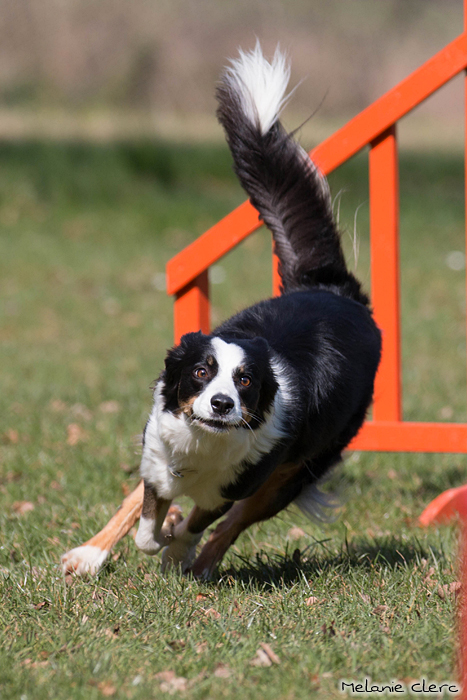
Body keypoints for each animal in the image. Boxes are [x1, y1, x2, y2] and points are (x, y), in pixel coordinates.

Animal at [61, 43, 381, 580]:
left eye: (245, 380)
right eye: (201, 371)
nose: (221, 404)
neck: (204, 442)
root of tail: (334, 288)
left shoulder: (242, 479)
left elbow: (201, 520)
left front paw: (177, 547)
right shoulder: (158, 457)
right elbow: (146, 514)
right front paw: (154, 537)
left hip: (294, 472)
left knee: (235, 523)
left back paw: (201, 562)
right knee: (137, 501)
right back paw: (91, 553)